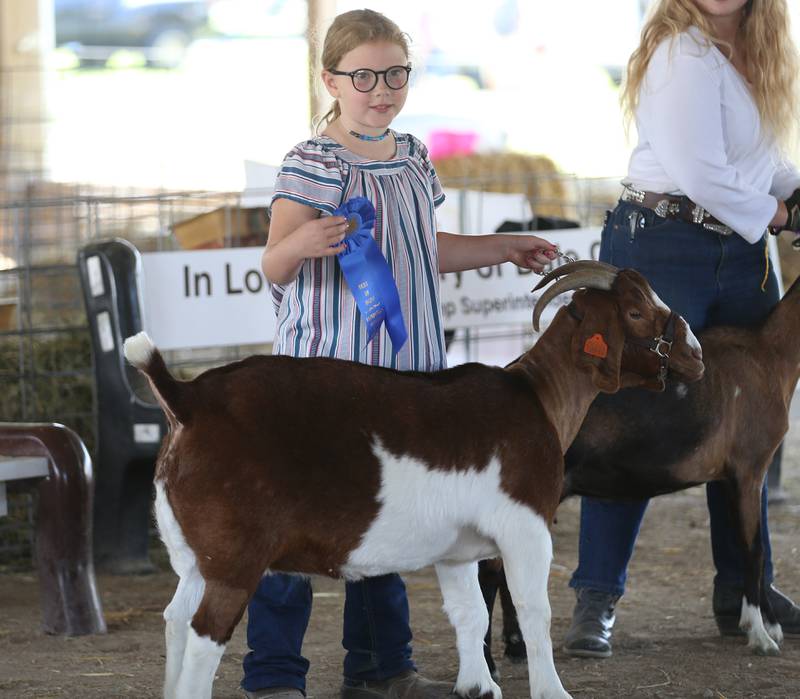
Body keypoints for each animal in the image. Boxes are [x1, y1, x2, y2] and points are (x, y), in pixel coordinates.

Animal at [122, 262, 704, 699]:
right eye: (635, 311)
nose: (695, 354)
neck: (537, 395)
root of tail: (189, 400)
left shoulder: (456, 550)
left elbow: (469, 614)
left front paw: (479, 688)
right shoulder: (527, 528)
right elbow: (534, 610)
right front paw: (552, 691)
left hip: (196, 556)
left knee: (175, 620)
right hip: (236, 560)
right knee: (203, 635)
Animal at [478, 268, 800, 672]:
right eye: (634, 312)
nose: (695, 355)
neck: (769, 354)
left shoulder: (735, 476)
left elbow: (754, 546)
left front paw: (768, 625)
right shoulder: (749, 467)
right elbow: (753, 549)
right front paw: (760, 635)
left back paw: (517, 646)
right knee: (490, 569)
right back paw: (490, 661)